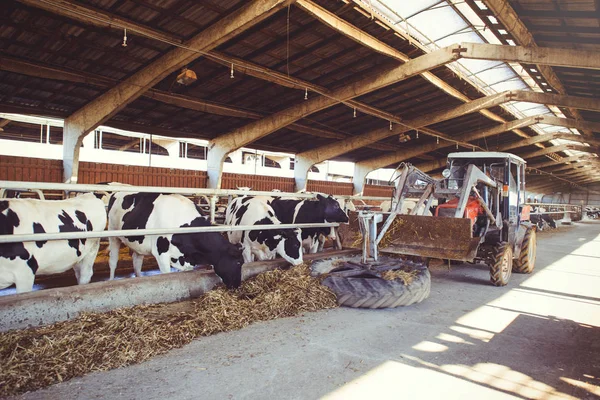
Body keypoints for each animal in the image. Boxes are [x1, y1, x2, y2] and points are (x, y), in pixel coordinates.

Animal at [108, 193, 241, 290]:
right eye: (238, 262)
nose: (237, 285)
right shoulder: (161, 254)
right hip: (113, 235)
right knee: (113, 261)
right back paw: (111, 280)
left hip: (138, 243)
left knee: (137, 261)